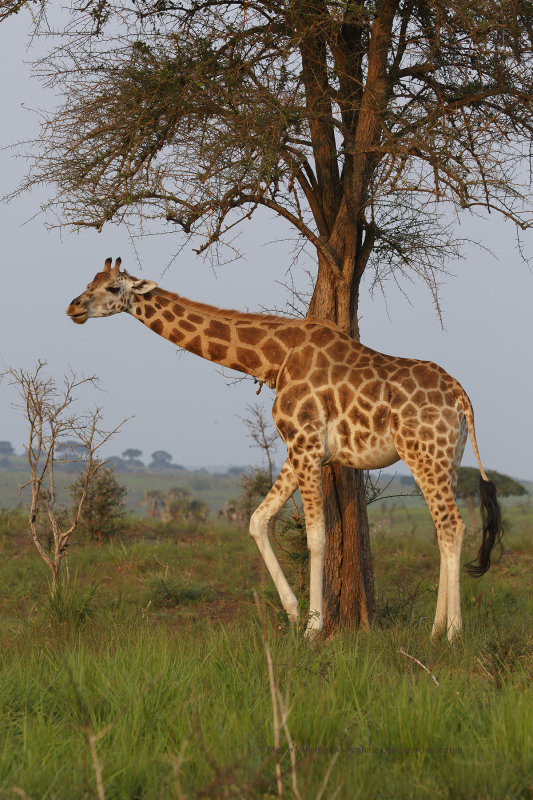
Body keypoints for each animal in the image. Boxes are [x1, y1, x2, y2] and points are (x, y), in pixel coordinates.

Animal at [67, 260, 502, 640]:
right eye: (89, 281)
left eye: (112, 288)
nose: (73, 307)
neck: (274, 359)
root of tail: (461, 396)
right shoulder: (300, 449)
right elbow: (257, 521)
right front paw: (293, 613)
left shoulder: (305, 444)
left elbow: (316, 535)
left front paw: (313, 628)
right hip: (447, 458)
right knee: (444, 530)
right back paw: (435, 630)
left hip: (424, 454)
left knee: (452, 525)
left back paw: (453, 634)